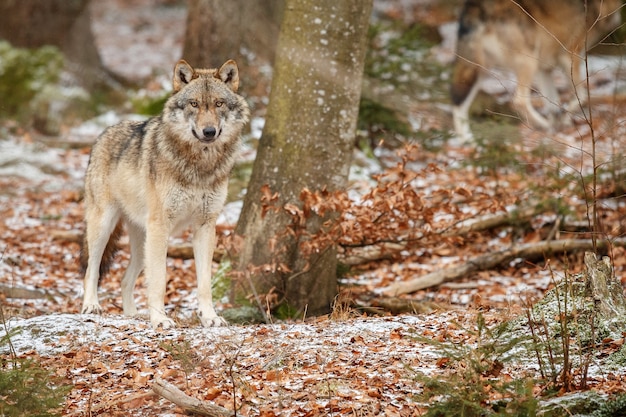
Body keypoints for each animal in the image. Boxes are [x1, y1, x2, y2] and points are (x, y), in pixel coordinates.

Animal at [80, 58, 249, 328]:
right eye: (194, 104)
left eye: (218, 104)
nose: (209, 131)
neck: (199, 166)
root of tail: (104, 133)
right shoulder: (161, 226)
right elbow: (159, 280)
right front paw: (160, 319)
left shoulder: (205, 226)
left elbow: (204, 283)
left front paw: (210, 317)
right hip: (105, 227)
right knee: (91, 270)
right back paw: (91, 306)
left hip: (142, 244)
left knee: (124, 280)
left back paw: (133, 314)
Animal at [448, 0, 620, 141]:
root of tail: (477, 7)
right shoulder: (572, 56)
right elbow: (582, 96)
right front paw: (560, 121)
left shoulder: (544, 69)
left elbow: (553, 103)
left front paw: (558, 124)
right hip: (528, 61)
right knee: (519, 101)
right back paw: (542, 124)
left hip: (479, 70)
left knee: (458, 103)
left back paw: (468, 141)